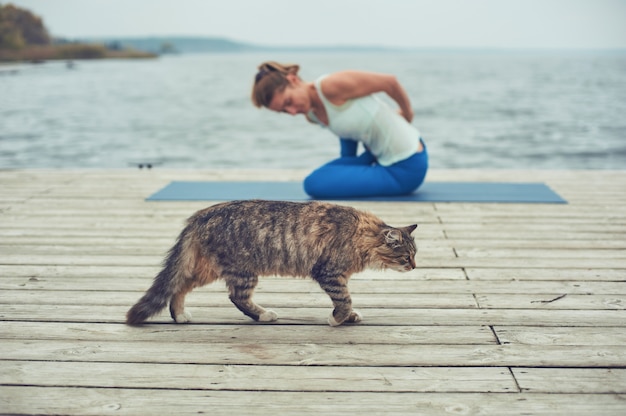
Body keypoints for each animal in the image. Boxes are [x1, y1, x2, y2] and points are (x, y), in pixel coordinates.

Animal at [125, 200, 414, 326]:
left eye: (415, 254)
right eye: (406, 256)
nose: (414, 267)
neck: (361, 233)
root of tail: (200, 215)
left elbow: (346, 301)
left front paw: (349, 317)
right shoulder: (330, 273)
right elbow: (344, 299)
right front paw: (338, 319)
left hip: (208, 268)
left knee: (179, 286)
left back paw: (179, 316)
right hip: (242, 270)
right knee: (237, 297)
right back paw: (263, 315)